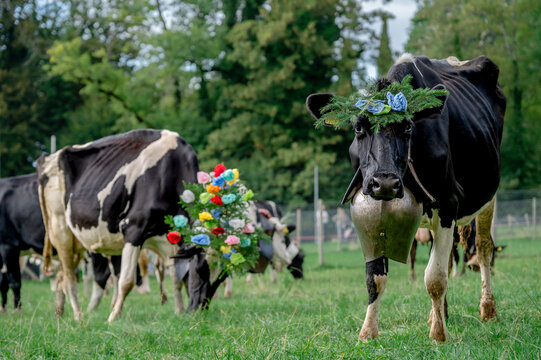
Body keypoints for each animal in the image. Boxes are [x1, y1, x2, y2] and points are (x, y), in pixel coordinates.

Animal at [37, 129, 198, 320]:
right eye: (202, 268)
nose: (200, 308)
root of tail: (49, 158)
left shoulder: (170, 244)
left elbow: (176, 278)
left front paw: (180, 310)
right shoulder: (134, 229)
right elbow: (126, 281)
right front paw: (113, 317)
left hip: (76, 243)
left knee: (61, 275)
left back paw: (60, 313)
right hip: (61, 230)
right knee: (69, 278)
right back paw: (78, 316)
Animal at [308, 54, 506, 342]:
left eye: (408, 127)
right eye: (358, 128)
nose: (385, 183)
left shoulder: (449, 204)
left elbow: (435, 277)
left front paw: (438, 335)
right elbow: (375, 278)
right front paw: (368, 332)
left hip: (487, 198)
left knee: (482, 249)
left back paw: (487, 309)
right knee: (449, 258)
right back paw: (439, 314)